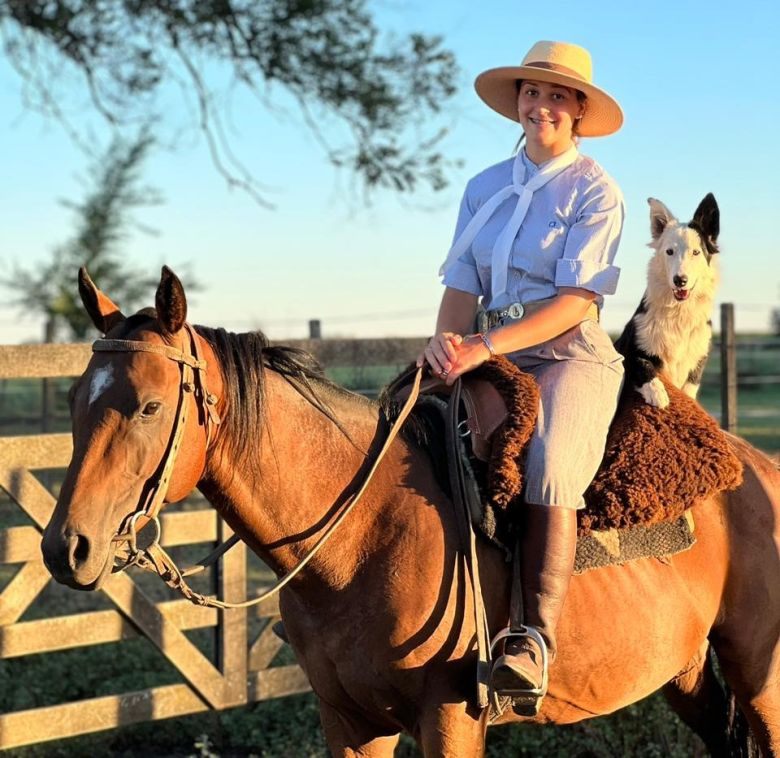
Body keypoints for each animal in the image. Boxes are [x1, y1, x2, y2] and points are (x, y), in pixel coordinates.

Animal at [41, 270, 780, 756]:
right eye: (74, 398)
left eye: (149, 406)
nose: (66, 548)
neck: (363, 536)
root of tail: (757, 466)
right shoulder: (348, 723)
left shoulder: (449, 720)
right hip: (685, 669)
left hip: (759, 673)